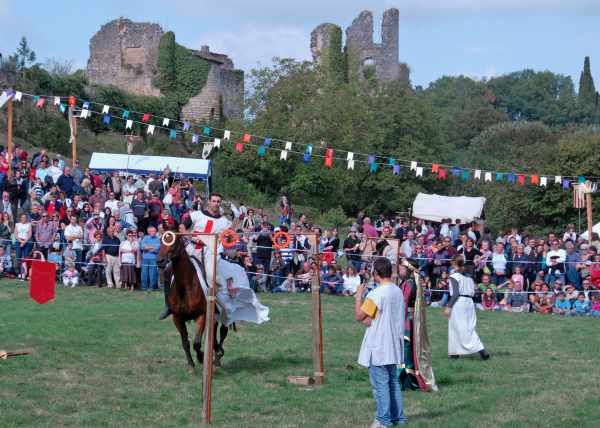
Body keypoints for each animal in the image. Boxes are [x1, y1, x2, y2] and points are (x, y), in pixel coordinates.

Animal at [155, 231, 230, 368]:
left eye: (174, 240)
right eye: (161, 240)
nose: (160, 261)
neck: (186, 287)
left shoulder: (202, 315)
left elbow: (196, 343)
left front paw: (201, 357)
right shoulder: (177, 318)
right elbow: (185, 342)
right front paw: (191, 363)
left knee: (223, 331)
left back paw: (217, 356)